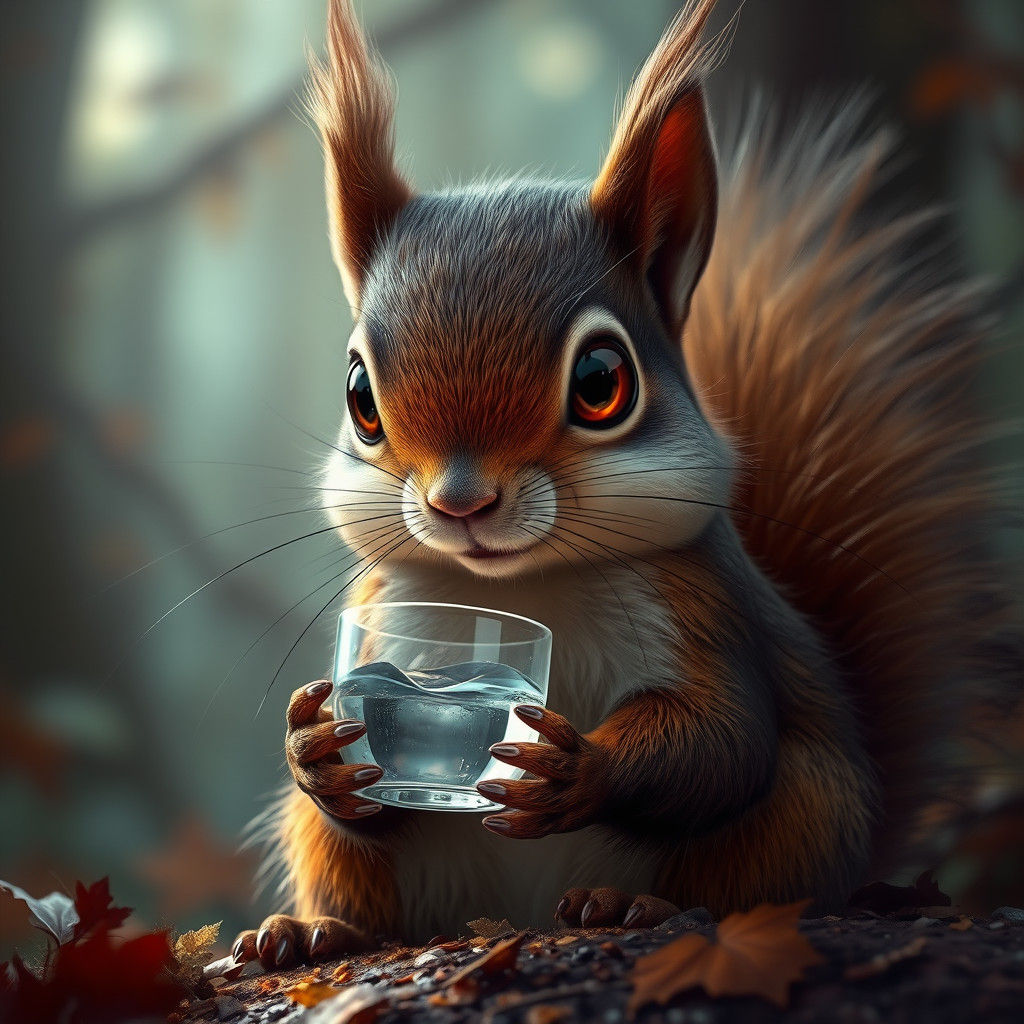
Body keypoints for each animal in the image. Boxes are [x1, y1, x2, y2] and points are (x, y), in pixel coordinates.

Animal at [232, 0, 1022, 969]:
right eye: (357, 397)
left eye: (602, 381)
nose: (462, 504)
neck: (519, 592)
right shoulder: (388, 612)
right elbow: (354, 778)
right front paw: (317, 751)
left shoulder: (700, 614)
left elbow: (721, 740)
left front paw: (581, 768)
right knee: (369, 892)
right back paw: (312, 930)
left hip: (804, 811)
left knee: (742, 874)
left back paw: (631, 907)